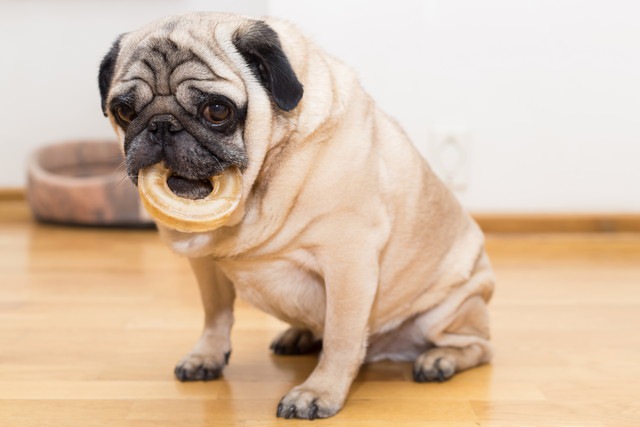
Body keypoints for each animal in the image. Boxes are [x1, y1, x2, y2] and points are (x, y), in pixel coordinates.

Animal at [97, 11, 496, 420]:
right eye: (124, 112)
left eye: (217, 111)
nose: (161, 124)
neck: (255, 196)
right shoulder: (205, 263)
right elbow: (216, 313)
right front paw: (206, 355)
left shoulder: (348, 265)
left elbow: (341, 337)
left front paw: (319, 392)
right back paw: (298, 335)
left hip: (446, 311)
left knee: (479, 346)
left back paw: (439, 359)